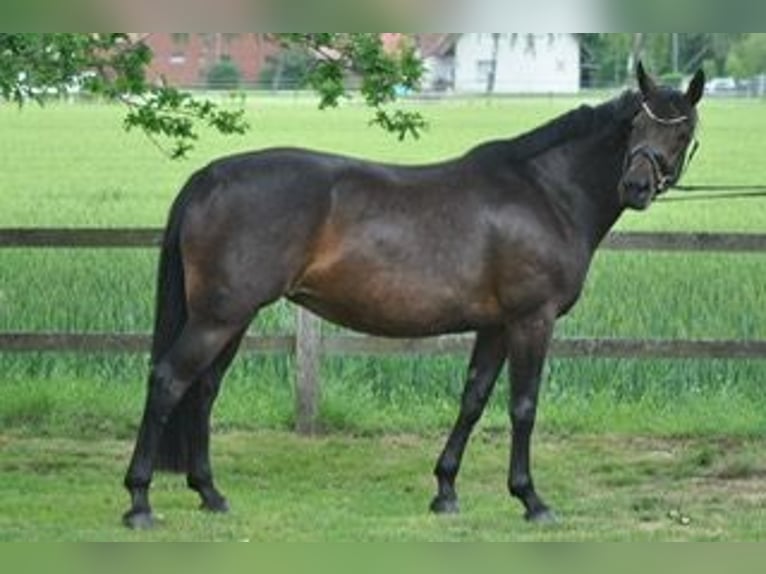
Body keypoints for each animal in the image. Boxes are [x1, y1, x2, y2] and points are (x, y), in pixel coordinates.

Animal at [122, 63, 705, 528]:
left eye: (682, 132)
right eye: (637, 125)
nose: (636, 186)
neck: (544, 192)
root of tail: (209, 176)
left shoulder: (495, 326)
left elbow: (473, 400)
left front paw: (445, 491)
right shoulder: (531, 320)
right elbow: (523, 406)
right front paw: (531, 500)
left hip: (232, 318)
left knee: (203, 390)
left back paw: (210, 493)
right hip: (219, 316)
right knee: (169, 381)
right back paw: (139, 502)